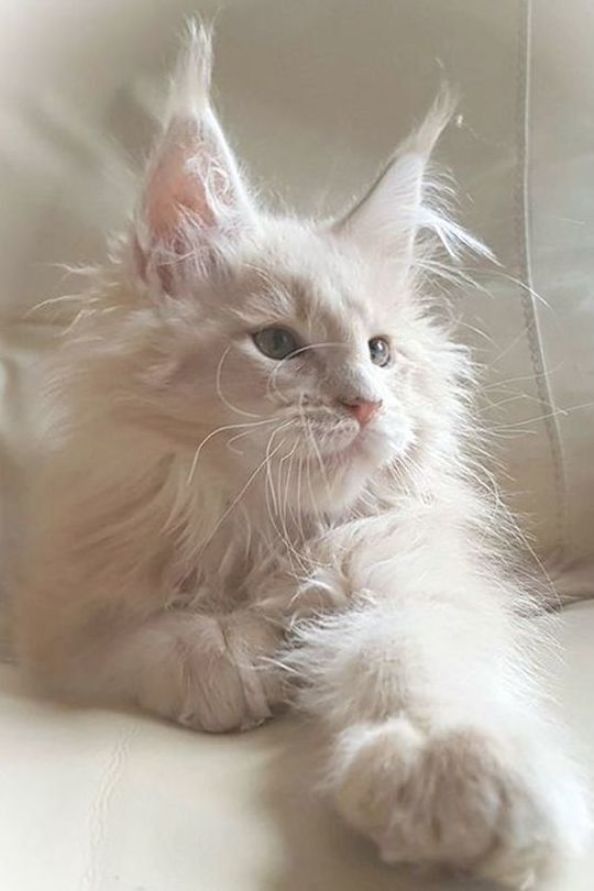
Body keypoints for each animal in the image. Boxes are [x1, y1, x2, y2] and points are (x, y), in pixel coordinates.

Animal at [13, 24, 588, 888]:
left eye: (381, 353)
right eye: (278, 344)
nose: (366, 403)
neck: (263, 533)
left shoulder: (403, 574)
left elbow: (412, 662)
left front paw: (448, 776)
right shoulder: (60, 602)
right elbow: (136, 630)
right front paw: (224, 656)